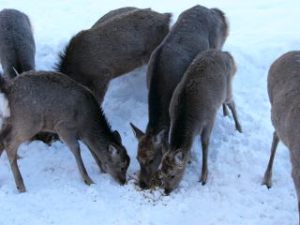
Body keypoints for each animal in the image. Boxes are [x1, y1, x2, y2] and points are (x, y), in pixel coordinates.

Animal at [0, 71, 129, 192]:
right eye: (122, 166)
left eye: (129, 163)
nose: (123, 182)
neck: (87, 124)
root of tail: (9, 88)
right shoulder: (63, 128)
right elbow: (76, 149)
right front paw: (88, 180)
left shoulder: (84, 136)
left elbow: (92, 150)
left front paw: (102, 170)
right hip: (29, 122)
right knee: (9, 142)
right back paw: (21, 186)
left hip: (11, 120)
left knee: (2, 137)